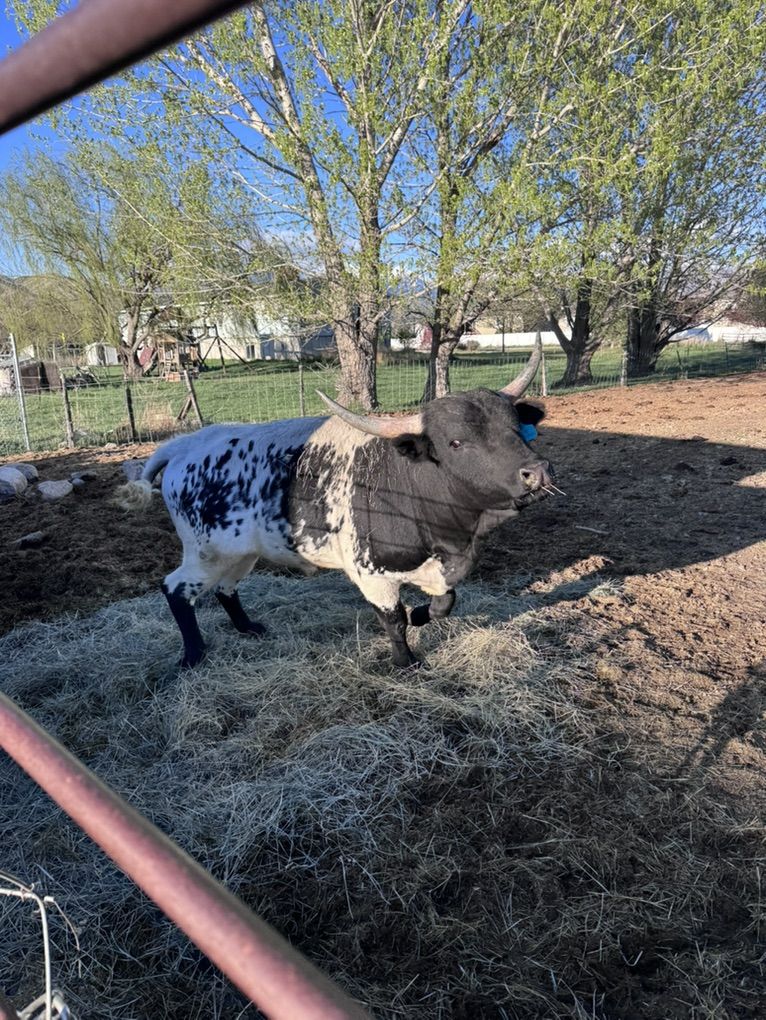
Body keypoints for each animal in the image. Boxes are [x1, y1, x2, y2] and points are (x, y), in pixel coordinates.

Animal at [118, 338, 554, 669]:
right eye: (456, 442)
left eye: (517, 428)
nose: (537, 472)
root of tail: (185, 445)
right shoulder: (371, 574)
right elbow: (394, 621)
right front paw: (406, 661)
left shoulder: (440, 571)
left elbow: (444, 603)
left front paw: (422, 615)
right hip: (205, 553)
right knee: (176, 590)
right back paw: (193, 654)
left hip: (240, 553)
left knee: (226, 588)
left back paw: (248, 628)